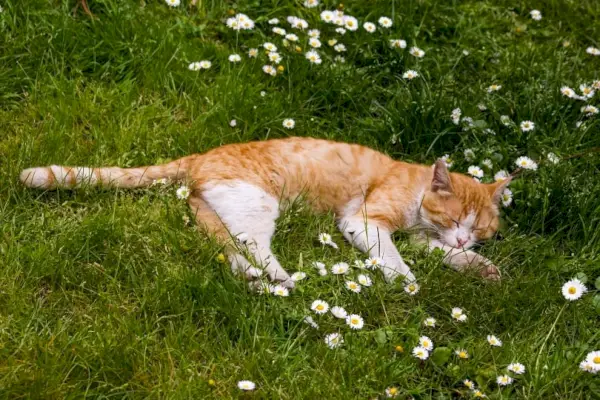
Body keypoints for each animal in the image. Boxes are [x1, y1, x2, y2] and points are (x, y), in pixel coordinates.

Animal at [18, 137, 508, 288]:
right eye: (455, 219)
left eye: (478, 229)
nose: (464, 237)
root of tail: (200, 157)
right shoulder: (365, 222)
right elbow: (393, 256)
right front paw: (405, 279)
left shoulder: (421, 237)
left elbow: (437, 252)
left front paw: (478, 265)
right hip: (258, 203)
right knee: (253, 244)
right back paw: (280, 278)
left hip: (215, 213)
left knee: (232, 251)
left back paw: (258, 281)